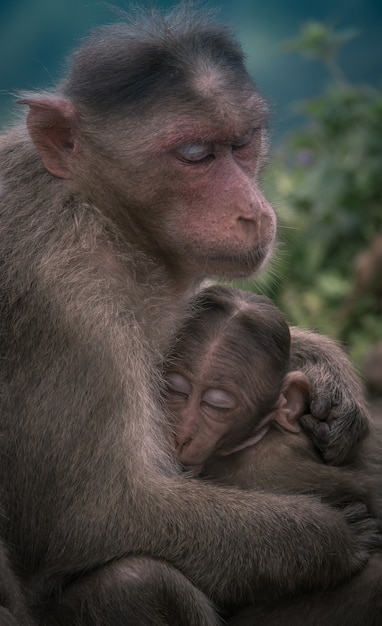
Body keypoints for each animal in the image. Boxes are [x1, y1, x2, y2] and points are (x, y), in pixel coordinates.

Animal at [0, 4, 378, 624]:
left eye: (243, 143)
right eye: (196, 155)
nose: (253, 211)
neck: (103, 216)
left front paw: (328, 372)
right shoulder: (66, 306)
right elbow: (97, 517)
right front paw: (332, 538)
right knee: (136, 579)